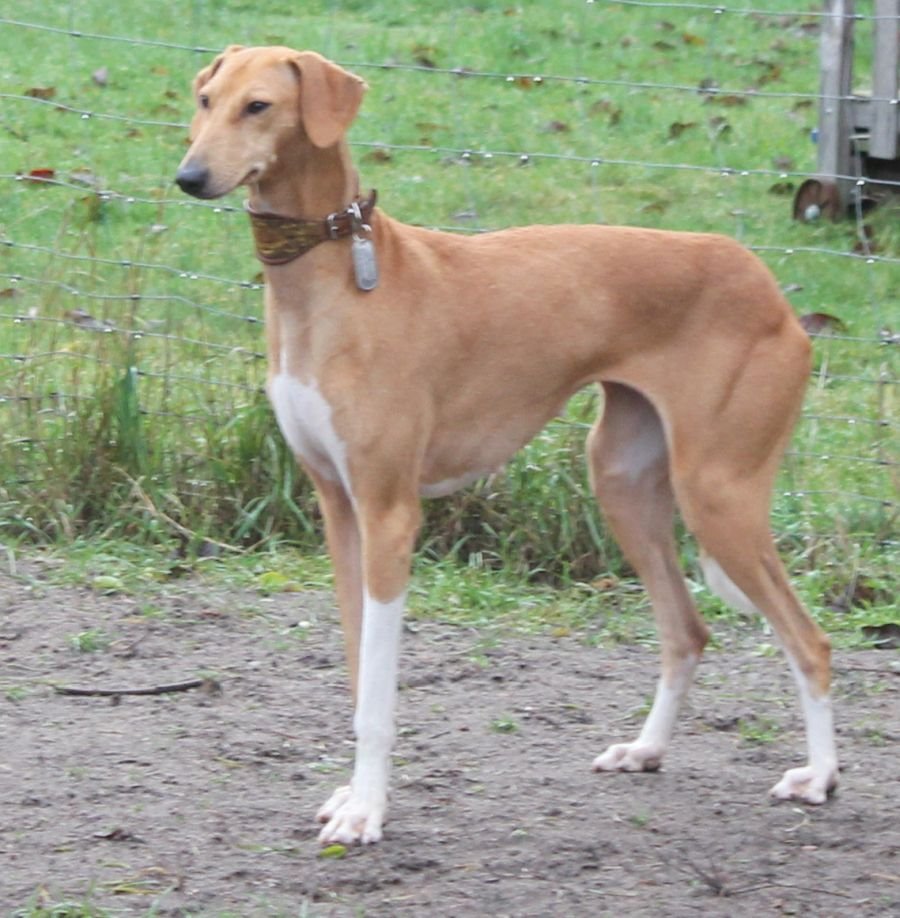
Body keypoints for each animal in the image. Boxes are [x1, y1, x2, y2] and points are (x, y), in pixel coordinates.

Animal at [176, 46, 838, 845]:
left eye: (260, 106)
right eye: (206, 100)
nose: (188, 177)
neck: (333, 280)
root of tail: (768, 287)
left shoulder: (390, 515)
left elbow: (379, 695)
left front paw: (367, 811)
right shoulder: (339, 509)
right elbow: (359, 676)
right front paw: (355, 796)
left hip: (718, 493)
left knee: (809, 641)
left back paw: (819, 777)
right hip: (623, 483)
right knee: (686, 630)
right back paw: (645, 749)